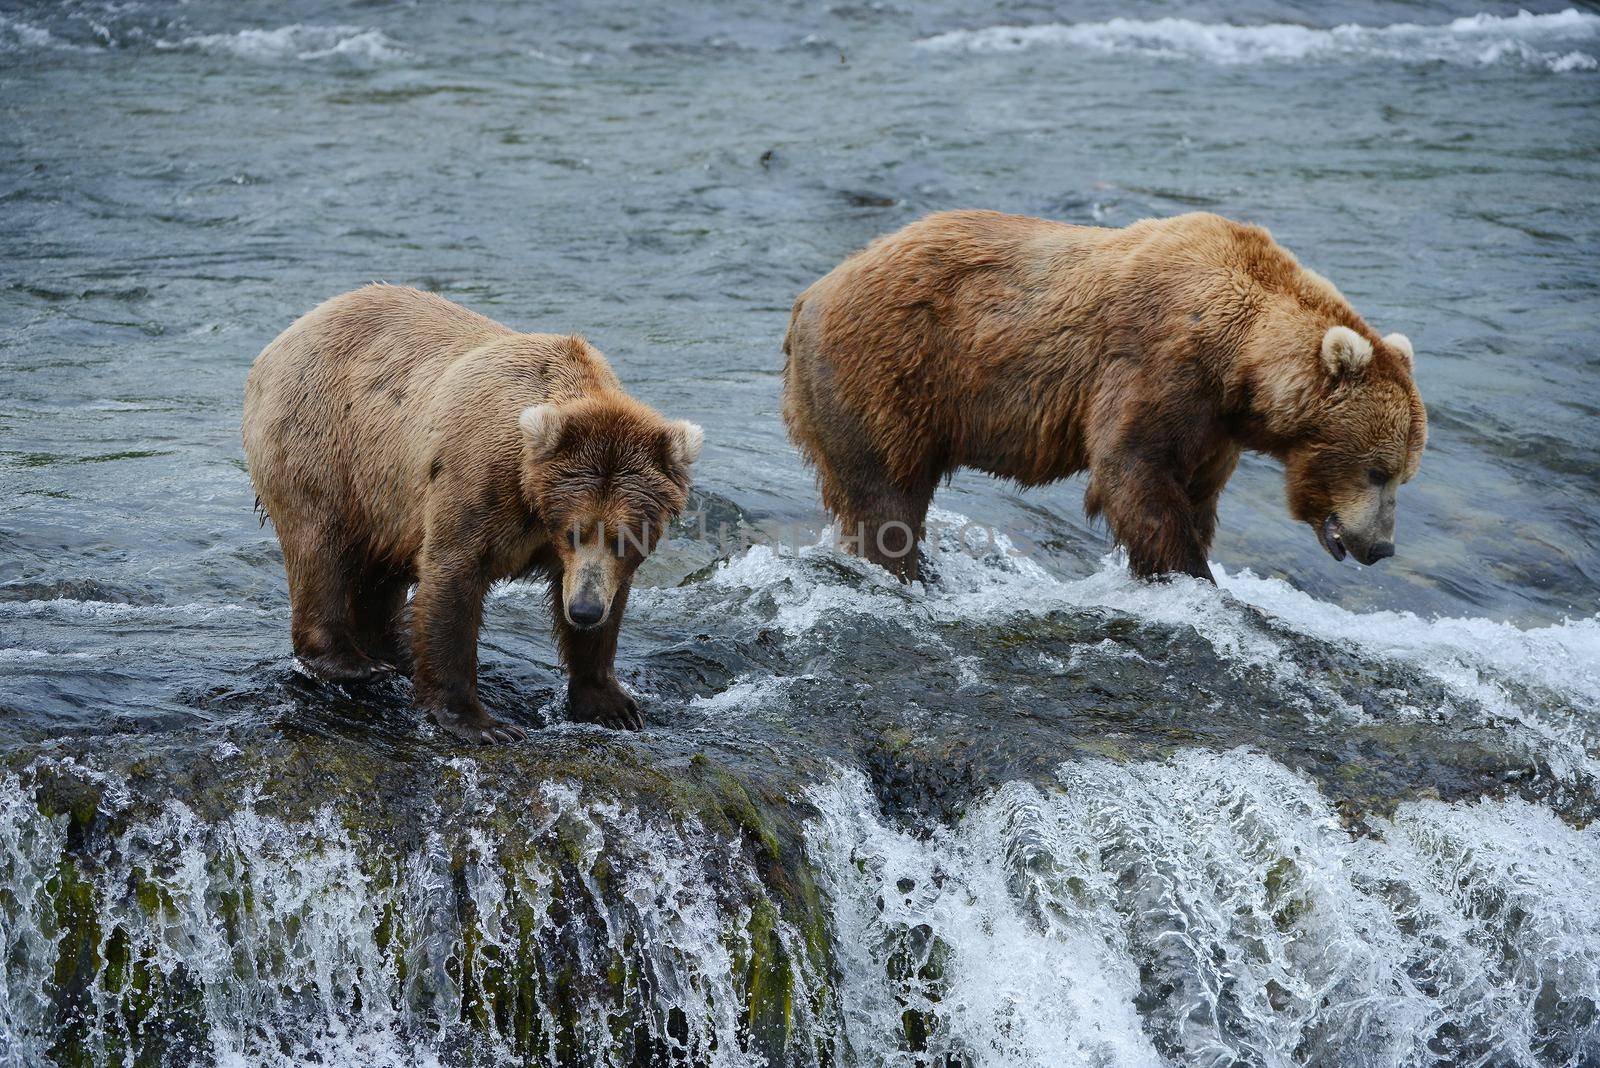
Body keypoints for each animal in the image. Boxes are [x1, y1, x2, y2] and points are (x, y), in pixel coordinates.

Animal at [243, 282, 707, 741]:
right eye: (572, 531)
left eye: (623, 537)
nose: (584, 610)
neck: (531, 497)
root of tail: (287, 334)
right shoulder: (478, 482)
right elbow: (453, 578)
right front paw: (480, 722)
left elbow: (609, 603)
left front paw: (612, 704)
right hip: (326, 438)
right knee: (321, 543)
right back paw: (353, 662)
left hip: (387, 496)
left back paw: (395, 651)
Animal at [784, 209, 1427, 585]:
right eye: (1378, 469)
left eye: (1404, 474)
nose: (1382, 547)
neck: (1241, 366)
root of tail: (812, 292)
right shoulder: (1161, 363)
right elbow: (1133, 467)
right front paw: (1191, 576)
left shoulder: (1216, 427)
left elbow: (1196, 491)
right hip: (889, 373)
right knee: (886, 496)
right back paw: (903, 568)